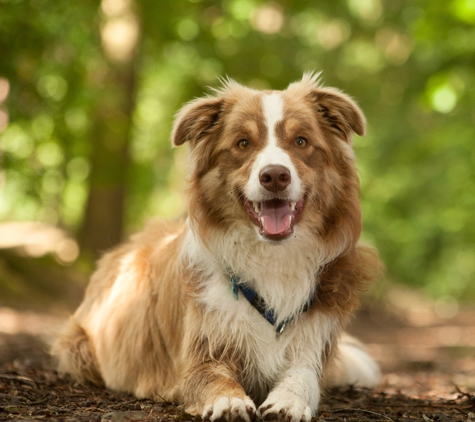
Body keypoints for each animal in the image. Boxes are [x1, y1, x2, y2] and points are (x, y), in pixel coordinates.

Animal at [52, 74, 384, 420]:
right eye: (243, 143)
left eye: (302, 141)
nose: (274, 176)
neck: (272, 257)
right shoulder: (201, 353)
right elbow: (213, 378)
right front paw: (229, 401)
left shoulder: (311, 345)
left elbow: (302, 378)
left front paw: (288, 401)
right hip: (79, 348)